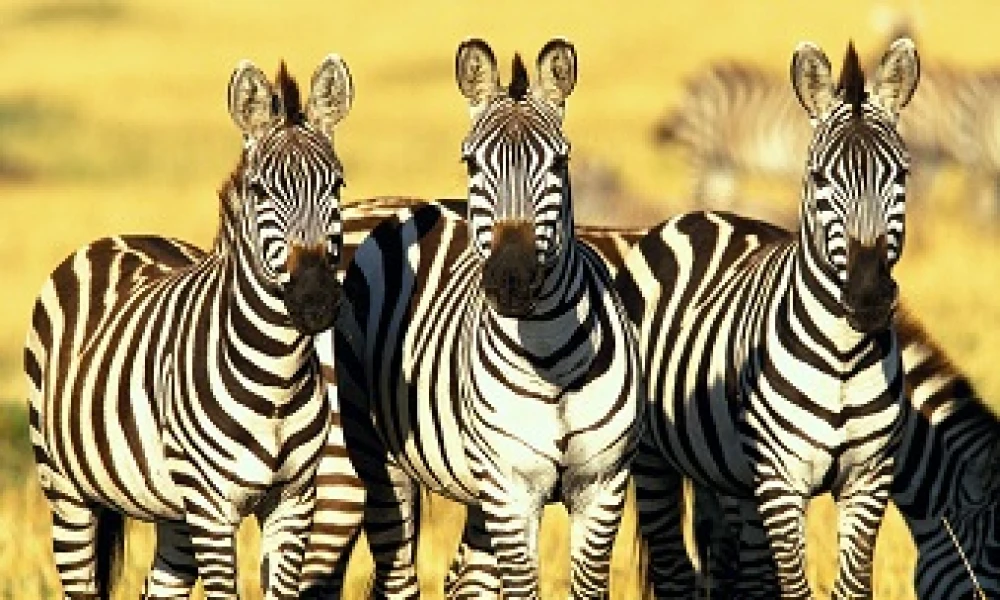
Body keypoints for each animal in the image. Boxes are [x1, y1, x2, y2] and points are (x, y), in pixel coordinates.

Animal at [25, 55, 353, 599]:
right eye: (260, 190)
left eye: (337, 185)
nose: (316, 302)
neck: (278, 378)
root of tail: (119, 236)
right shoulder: (211, 506)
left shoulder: (294, 502)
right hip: (68, 494)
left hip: (172, 510)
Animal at [318, 39, 644, 598]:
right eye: (471, 162)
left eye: (560, 161)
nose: (511, 280)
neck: (550, 359)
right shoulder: (510, 489)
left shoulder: (602, 485)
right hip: (369, 457)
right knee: (396, 574)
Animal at [609, 38, 921, 598]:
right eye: (819, 177)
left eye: (901, 174)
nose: (867, 297)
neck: (843, 354)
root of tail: (697, 214)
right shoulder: (781, 480)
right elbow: (794, 587)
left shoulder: (869, 478)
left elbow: (850, 586)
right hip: (650, 459)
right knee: (675, 570)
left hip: (724, 475)